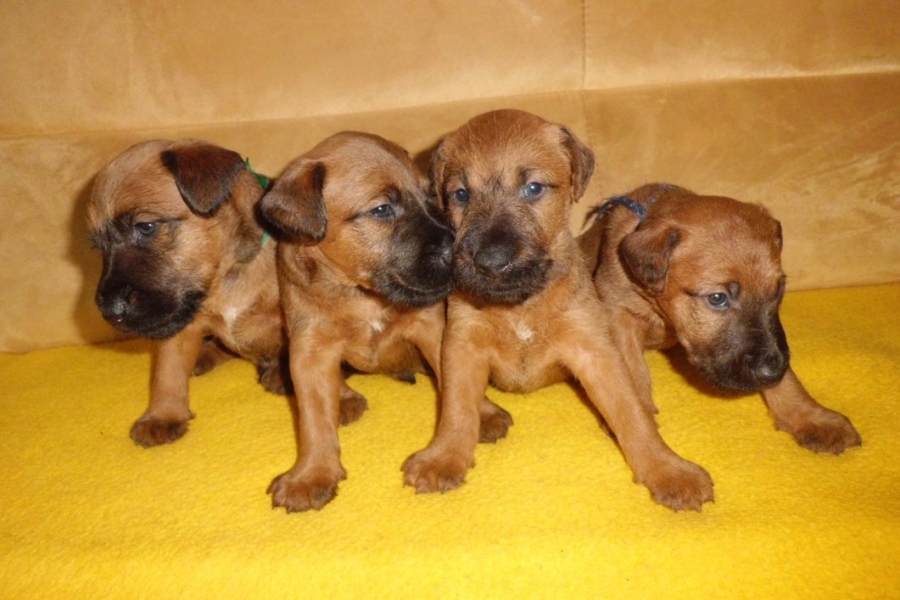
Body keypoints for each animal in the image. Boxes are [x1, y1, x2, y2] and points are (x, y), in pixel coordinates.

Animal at [88, 139, 306, 447]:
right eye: (98, 247)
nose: (109, 312)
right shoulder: (181, 325)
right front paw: (162, 416)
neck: (226, 277)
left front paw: (284, 373)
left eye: (146, 227)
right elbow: (168, 374)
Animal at [259, 131, 511, 512]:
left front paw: (483, 414)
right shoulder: (309, 350)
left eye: (431, 197)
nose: (456, 250)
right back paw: (343, 397)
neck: (362, 296)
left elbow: (455, 383)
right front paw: (312, 474)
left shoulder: (431, 329)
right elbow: (313, 420)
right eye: (382, 210)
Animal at [402, 109, 716, 512]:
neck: (521, 304)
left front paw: (668, 469)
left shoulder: (595, 351)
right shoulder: (462, 344)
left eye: (534, 188)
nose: (490, 261)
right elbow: (456, 408)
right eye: (461, 194)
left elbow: (631, 412)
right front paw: (444, 457)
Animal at [579, 183, 861, 455]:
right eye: (717, 298)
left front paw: (812, 417)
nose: (771, 372)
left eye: (779, 289)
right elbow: (632, 369)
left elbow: (789, 380)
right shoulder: (620, 315)